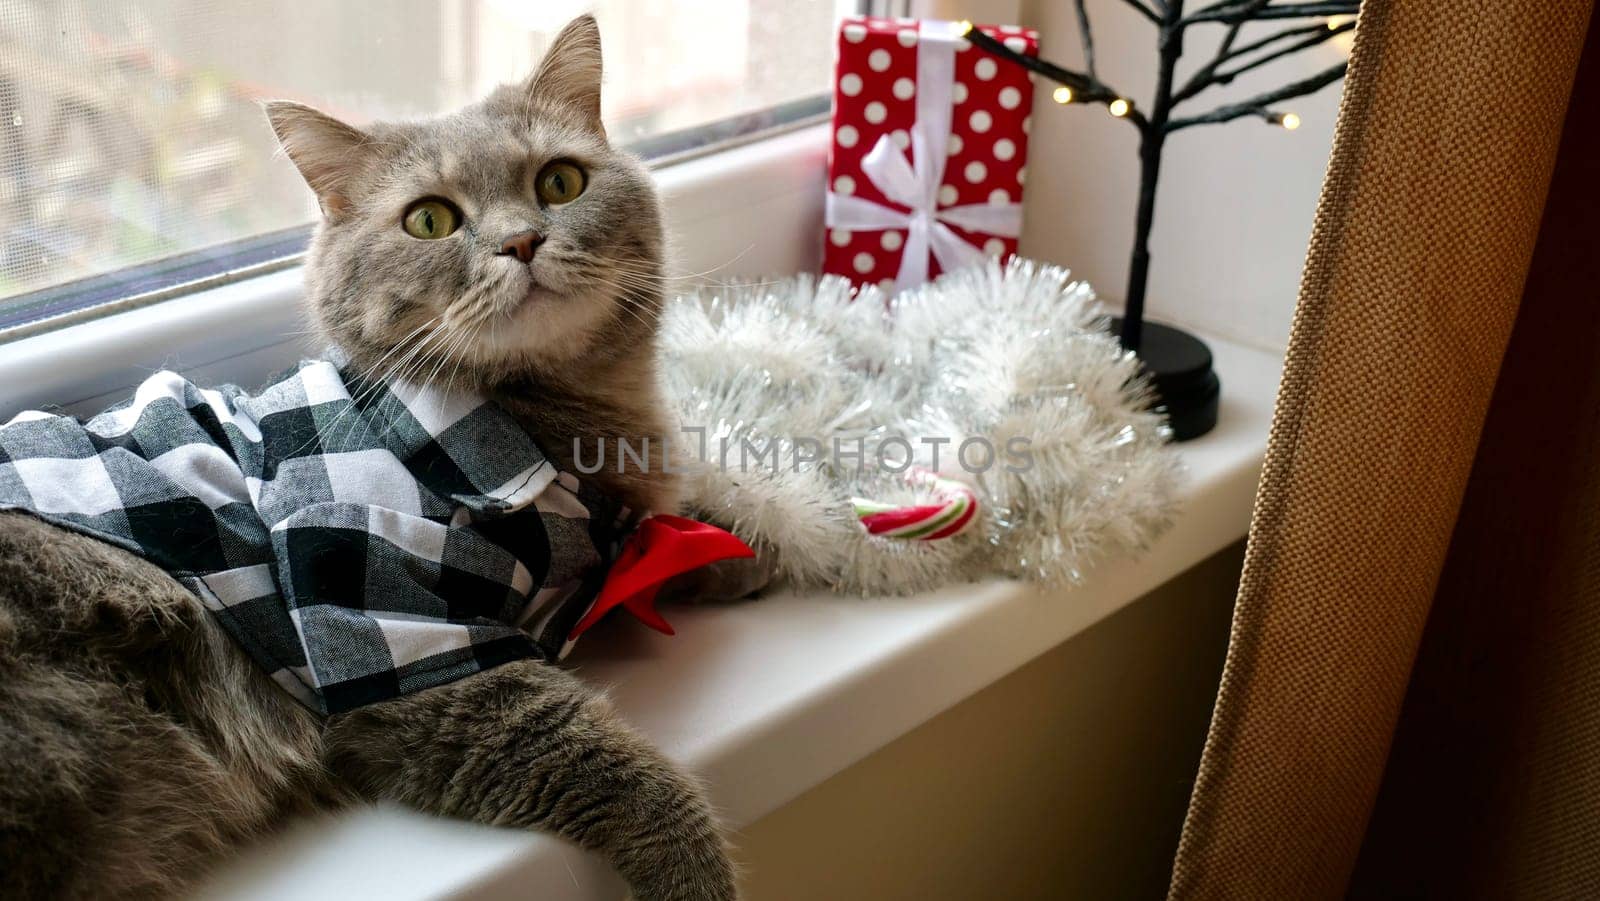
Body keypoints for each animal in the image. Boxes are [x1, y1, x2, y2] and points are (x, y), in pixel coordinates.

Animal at [0, 15, 732, 901]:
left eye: (560, 182)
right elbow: (610, 768)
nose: (521, 241)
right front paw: (694, 872)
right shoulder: (401, 637)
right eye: (430, 221)